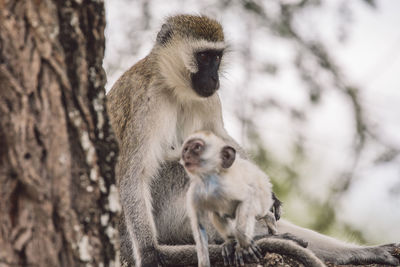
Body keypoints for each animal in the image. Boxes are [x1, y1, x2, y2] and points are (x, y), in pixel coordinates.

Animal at [181, 132, 278, 267]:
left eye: (197, 148)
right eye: (186, 149)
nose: (186, 155)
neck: (208, 182)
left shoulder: (228, 186)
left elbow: (248, 196)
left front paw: (245, 245)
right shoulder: (194, 193)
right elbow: (198, 226)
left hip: (263, 198)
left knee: (257, 209)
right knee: (215, 213)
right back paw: (230, 242)